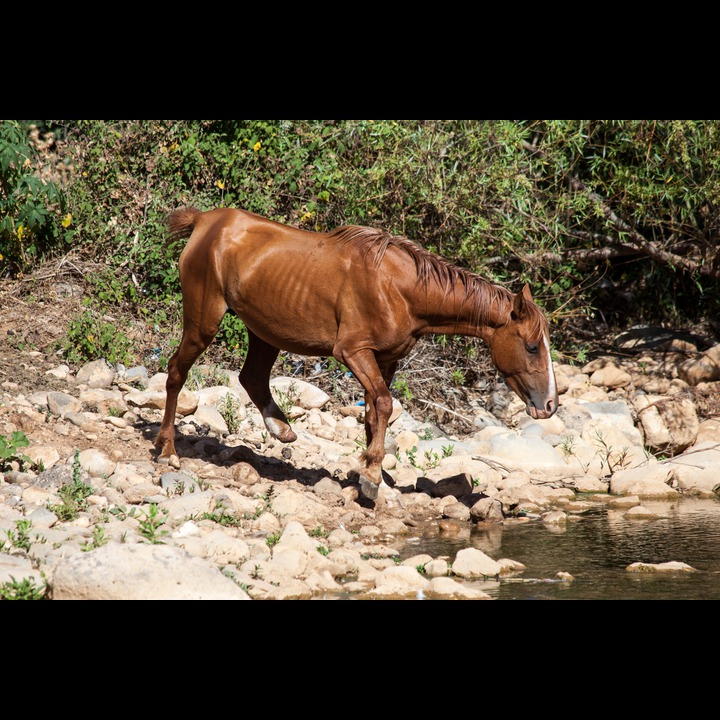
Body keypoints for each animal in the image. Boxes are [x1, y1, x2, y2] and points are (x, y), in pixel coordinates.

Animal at [153, 208, 556, 498]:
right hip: (204, 321)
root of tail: (205, 221)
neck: (400, 288)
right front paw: (373, 475)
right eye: (532, 346)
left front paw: (371, 474)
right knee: (176, 372)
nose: (550, 405)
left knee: (251, 377)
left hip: (264, 331)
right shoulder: (352, 352)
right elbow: (384, 404)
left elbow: (374, 414)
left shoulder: (386, 360)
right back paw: (168, 449)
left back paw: (281, 429)